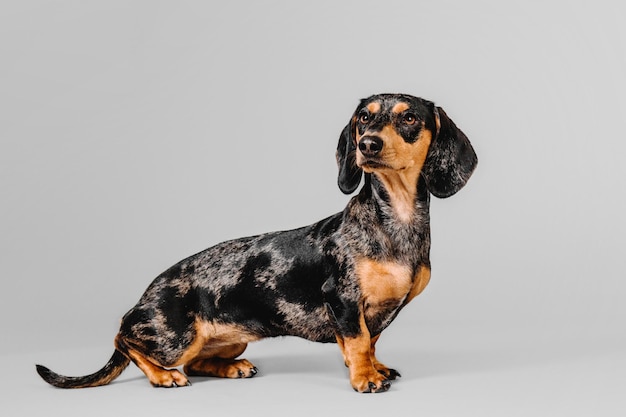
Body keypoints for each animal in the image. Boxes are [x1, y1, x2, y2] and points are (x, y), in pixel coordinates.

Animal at [36, 92, 476, 392]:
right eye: (363, 118)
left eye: (410, 118)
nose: (367, 143)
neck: (394, 221)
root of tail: (146, 295)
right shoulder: (343, 300)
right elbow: (358, 342)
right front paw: (365, 377)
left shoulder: (378, 310)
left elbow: (371, 341)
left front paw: (375, 366)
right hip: (175, 337)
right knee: (125, 340)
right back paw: (163, 376)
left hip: (229, 341)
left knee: (195, 361)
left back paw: (231, 368)